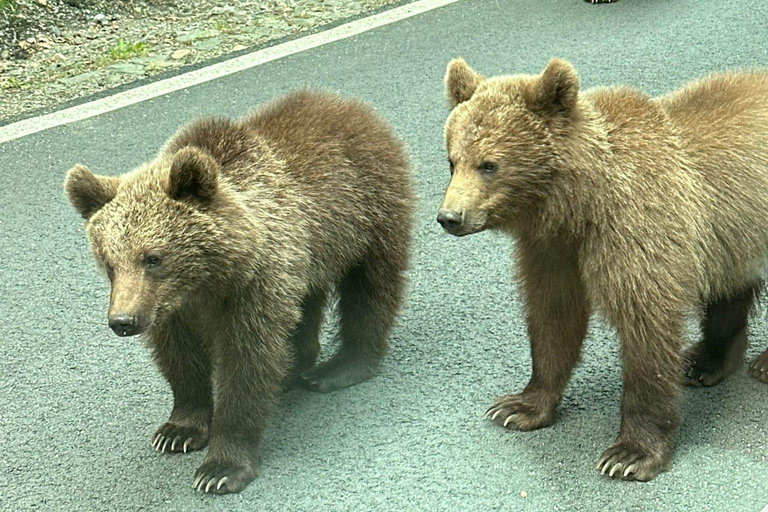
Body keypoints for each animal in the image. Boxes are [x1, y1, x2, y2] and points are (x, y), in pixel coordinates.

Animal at [65, 90, 414, 494]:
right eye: (109, 262)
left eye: (153, 257)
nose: (123, 321)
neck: (205, 281)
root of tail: (348, 105)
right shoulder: (172, 309)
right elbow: (179, 357)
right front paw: (178, 430)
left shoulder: (251, 288)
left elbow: (246, 362)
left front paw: (221, 467)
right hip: (310, 255)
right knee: (306, 306)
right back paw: (296, 368)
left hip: (367, 213)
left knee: (369, 288)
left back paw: (341, 366)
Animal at [438, 58, 768, 482]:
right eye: (452, 160)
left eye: (489, 164)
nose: (450, 217)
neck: (579, 205)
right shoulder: (553, 250)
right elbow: (553, 317)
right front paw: (518, 407)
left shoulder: (635, 230)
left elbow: (646, 330)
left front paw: (630, 454)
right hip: (734, 235)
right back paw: (706, 361)